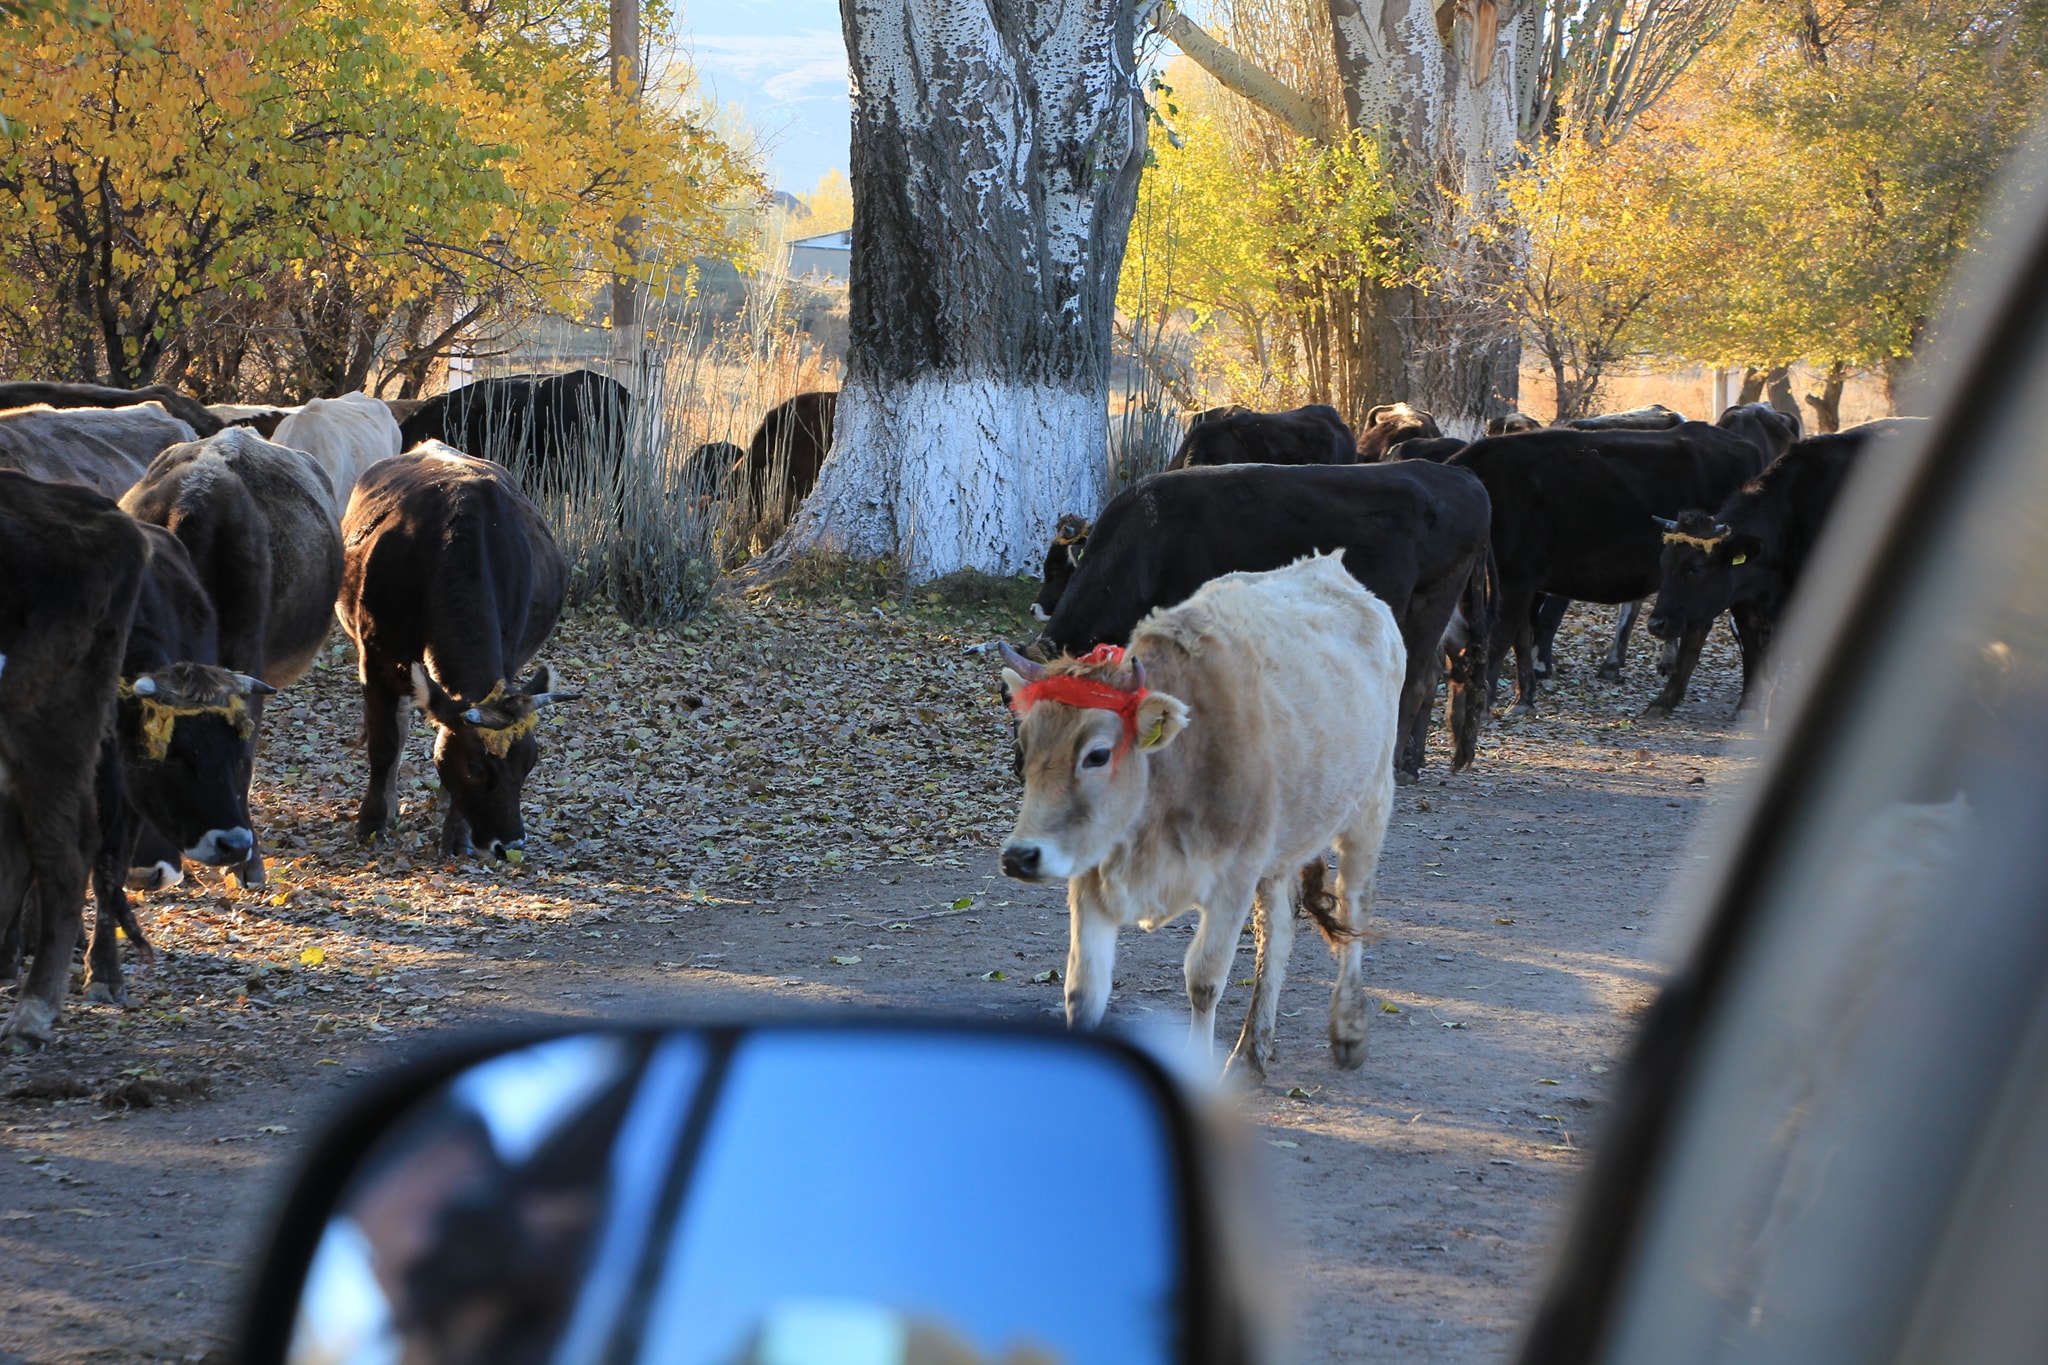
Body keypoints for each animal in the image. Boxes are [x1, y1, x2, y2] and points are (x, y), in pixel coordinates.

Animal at [338, 444, 573, 859]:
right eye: (477, 769)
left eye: (530, 763)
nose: (510, 842)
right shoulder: (375, 658)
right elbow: (384, 743)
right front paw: (371, 822)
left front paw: (456, 835)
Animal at [999, 554, 1403, 1080]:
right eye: (1023, 751)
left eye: (1098, 754)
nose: (1020, 856)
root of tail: (1334, 568)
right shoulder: (1090, 875)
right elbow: (1083, 989)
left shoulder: (1233, 877)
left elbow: (1205, 979)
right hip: (1281, 847)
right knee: (1279, 932)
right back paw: (1253, 1049)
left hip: (1370, 804)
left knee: (1354, 904)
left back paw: (1348, 1030)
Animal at [1449, 411, 1790, 714]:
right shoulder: (1521, 584)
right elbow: (1518, 638)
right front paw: (1522, 699)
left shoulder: (1517, 580)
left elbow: (1497, 640)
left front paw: (1484, 704)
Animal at [1643, 422, 1913, 717]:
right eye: (1664, 563)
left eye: (1696, 568)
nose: (1656, 623)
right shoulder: (1746, 603)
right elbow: (1752, 651)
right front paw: (1748, 705)